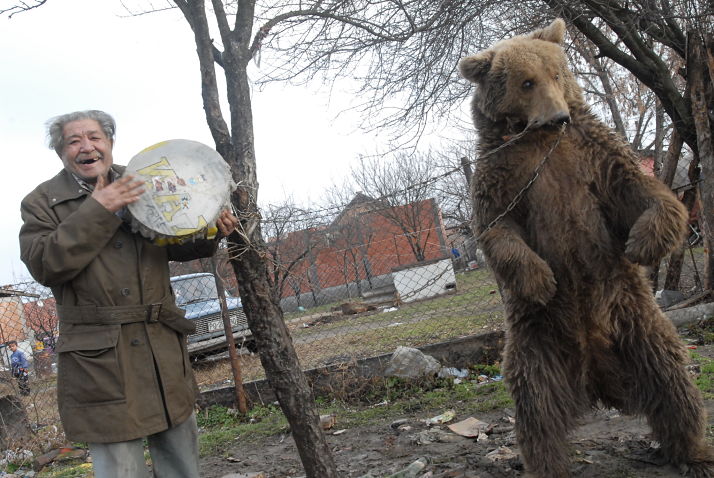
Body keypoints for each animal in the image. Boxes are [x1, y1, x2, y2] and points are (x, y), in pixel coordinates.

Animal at [459, 18, 714, 478]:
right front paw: (541, 279)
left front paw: (642, 242)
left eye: (557, 73)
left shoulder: (591, 154)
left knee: (672, 378)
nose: (559, 116)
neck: (540, 139)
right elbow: (497, 229)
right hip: (536, 341)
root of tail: (594, 377)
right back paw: (547, 464)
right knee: (536, 407)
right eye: (526, 81)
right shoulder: (502, 171)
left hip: (635, 319)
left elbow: (640, 190)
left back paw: (694, 451)